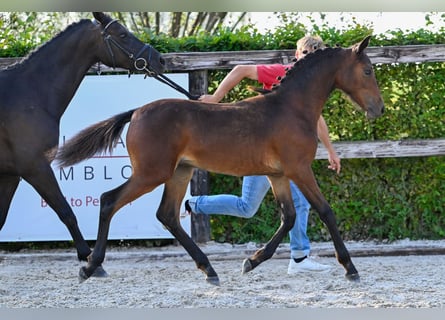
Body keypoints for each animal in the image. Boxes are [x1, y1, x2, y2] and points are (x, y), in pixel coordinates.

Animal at [0, 13, 165, 272]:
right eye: (122, 34)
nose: (160, 60)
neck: (28, 94)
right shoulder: (35, 167)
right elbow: (66, 211)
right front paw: (89, 258)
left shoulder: (11, 175)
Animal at [57, 35, 384, 284]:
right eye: (368, 70)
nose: (379, 109)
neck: (291, 108)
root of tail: (136, 112)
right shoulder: (299, 169)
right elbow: (325, 211)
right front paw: (350, 268)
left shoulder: (278, 174)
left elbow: (289, 217)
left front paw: (251, 261)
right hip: (152, 173)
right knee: (109, 200)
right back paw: (91, 266)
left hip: (180, 172)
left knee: (167, 215)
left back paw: (209, 269)